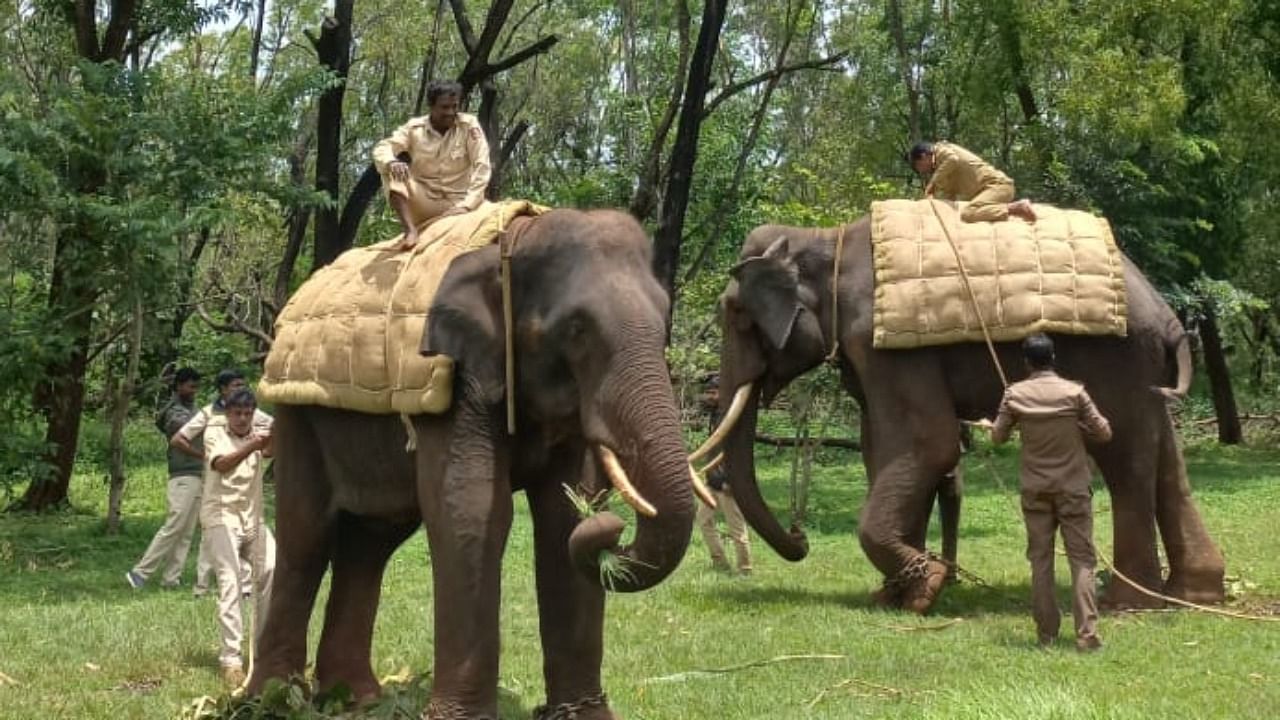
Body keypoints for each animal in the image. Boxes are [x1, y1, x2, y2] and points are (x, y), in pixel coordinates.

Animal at [241, 208, 701, 717]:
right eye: (576, 329)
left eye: (664, 321)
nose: (614, 529)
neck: (512, 240)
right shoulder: (456, 378)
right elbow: (474, 512)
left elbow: (562, 516)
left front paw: (584, 716)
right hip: (297, 415)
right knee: (307, 535)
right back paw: (269, 701)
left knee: (371, 541)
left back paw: (356, 699)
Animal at [706, 217, 1223, 609]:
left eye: (736, 315)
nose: (801, 539)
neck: (823, 237)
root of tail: (1171, 320)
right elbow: (879, 448)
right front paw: (894, 596)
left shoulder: (883, 342)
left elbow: (927, 444)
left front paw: (925, 589)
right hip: (1145, 368)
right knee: (1165, 456)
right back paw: (1194, 594)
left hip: (1117, 357)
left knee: (1123, 457)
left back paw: (1128, 603)